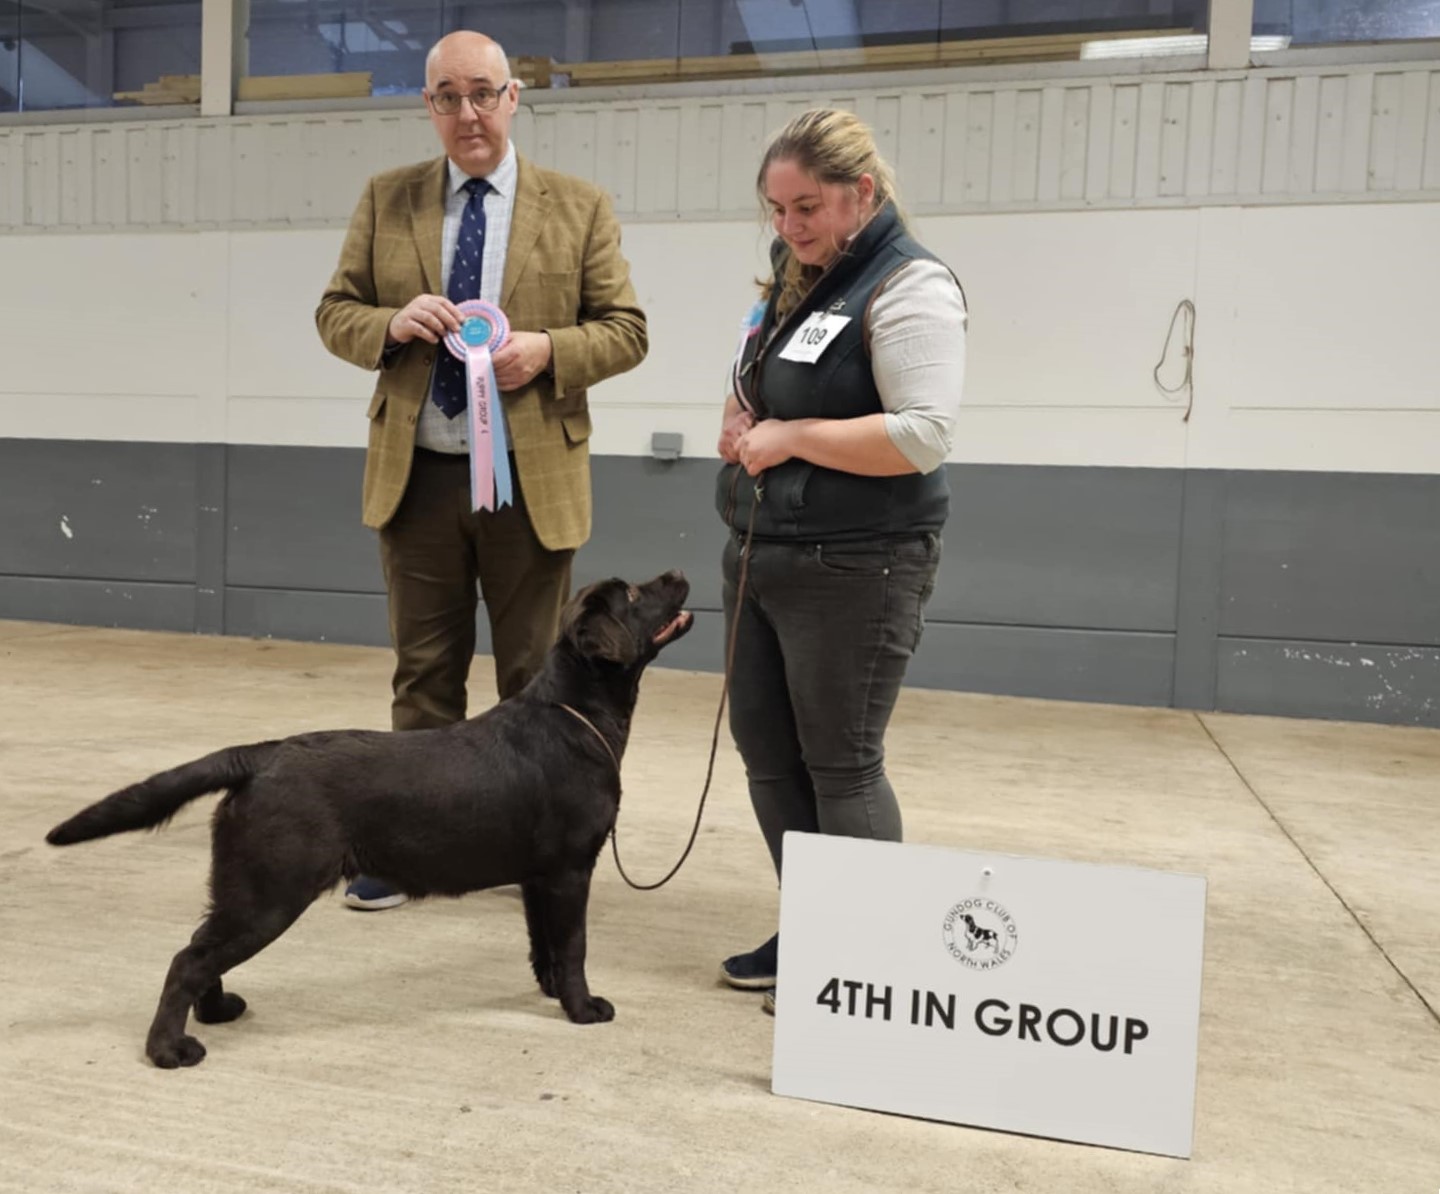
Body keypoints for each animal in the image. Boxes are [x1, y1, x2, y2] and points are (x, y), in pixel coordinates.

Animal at [46, 570, 692, 1068]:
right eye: (634, 593)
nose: (679, 573)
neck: (575, 714)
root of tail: (263, 754)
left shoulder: (539, 877)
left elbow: (546, 946)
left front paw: (554, 992)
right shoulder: (569, 869)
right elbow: (575, 945)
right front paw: (584, 1009)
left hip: (245, 887)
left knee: (201, 948)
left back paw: (216, 1012)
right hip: (271, 890)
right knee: (188, 959)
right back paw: (169, 1049)